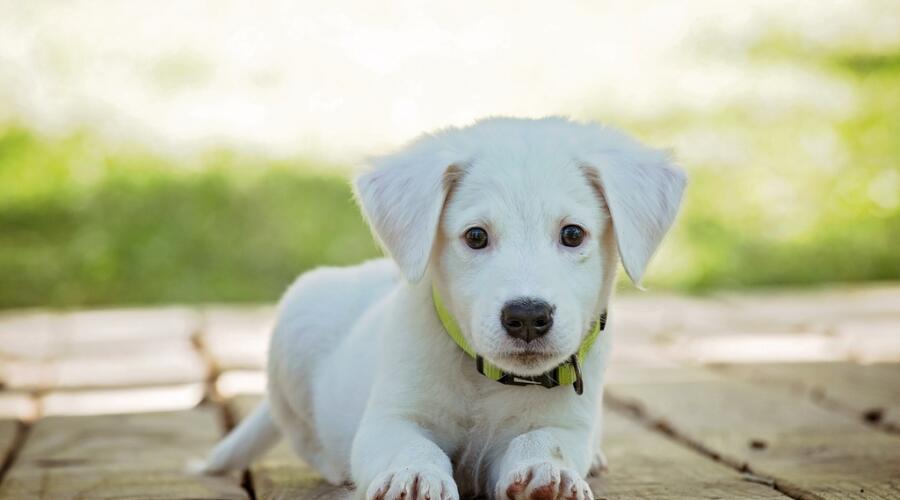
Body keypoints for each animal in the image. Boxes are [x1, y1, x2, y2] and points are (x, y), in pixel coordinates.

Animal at [204, 117, 686, 500]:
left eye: (572, 234)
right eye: (475, 236)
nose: (528, 318)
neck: (485, 380)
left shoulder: (568, 424)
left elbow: (543, 440)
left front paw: (546, 473)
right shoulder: (390, 418)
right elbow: (412, 445)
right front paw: (414, 476)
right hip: (296, 326)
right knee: (307, 439)